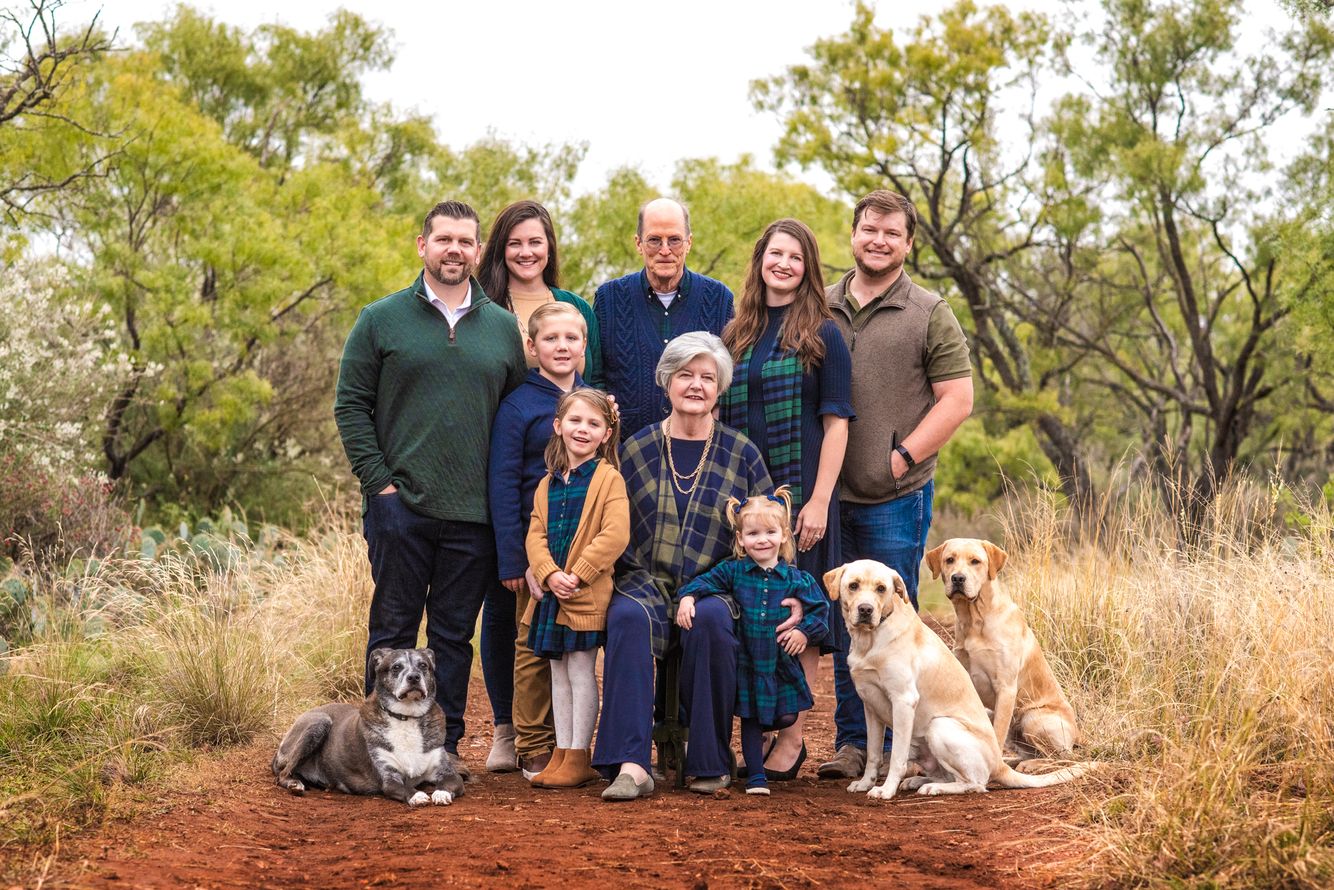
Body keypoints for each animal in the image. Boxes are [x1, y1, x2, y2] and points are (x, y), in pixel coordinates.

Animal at [270, 648, 464, 805]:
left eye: (423, 665)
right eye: (396, 667)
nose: (414, 677)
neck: (406, 717)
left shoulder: (448, 773)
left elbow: (451, 783)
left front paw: (441, 793)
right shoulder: (390, 778)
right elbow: (405, 788)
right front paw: (417, 795)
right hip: (319, 723)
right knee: (283, 774)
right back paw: (295, 783)